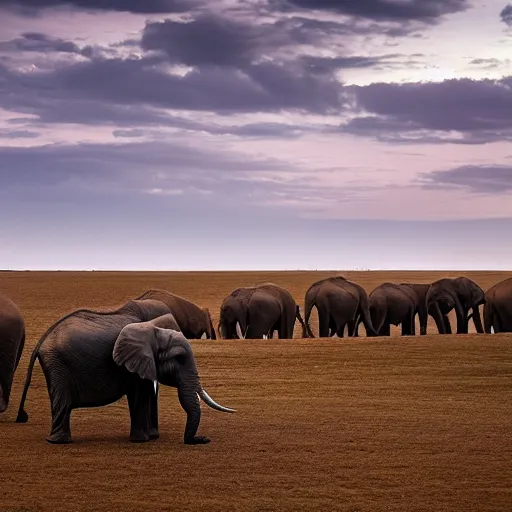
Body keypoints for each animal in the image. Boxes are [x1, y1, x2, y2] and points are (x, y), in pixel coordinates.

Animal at [14, 298, 234, 446]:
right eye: (179, 358)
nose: (204, 439)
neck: (152, 328)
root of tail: (42, 341)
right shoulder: (135, 362)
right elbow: (141, 395)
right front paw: (143, 440)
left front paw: (152, 437)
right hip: (59, 364)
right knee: (63, 400)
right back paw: (59, 442)